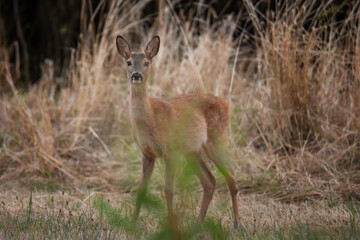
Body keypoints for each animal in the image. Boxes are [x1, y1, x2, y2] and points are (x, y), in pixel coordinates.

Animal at [116, 34, 239, 224]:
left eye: (146, 62)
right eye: (128, 62)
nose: (136, 75)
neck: (150, 120)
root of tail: (226, 105)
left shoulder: (171, 151)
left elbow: (168, 190)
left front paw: (171, 223)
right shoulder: (147, 153)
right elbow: (141, 189)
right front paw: (133, 223)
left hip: (216, 139)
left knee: (231, 177)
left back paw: (237, 223)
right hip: (193, 151)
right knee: (210, 181)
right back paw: (198, 223)